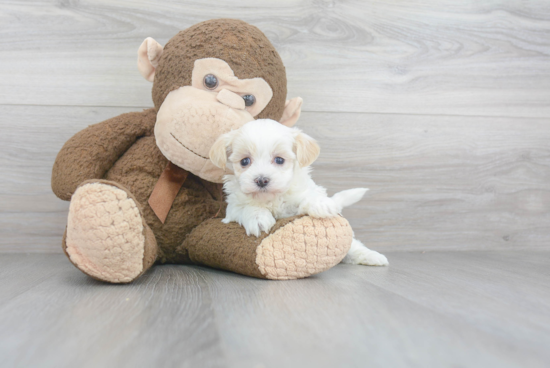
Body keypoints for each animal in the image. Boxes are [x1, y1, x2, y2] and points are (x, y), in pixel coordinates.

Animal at [210, 119, 388, 266]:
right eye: (245, 161)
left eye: (279, 160)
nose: (261, 180)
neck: (272, 198)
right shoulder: (232, 208)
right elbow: (246, 208)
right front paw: (258, 218)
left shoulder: (299, 198)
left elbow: (307, 198)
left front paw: (321, 204)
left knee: (353, 245)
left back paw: (372, 256)